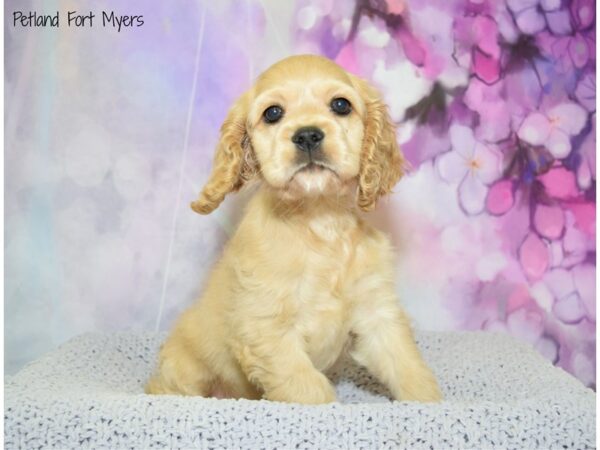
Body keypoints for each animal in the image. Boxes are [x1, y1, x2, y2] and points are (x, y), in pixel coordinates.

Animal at [146, 53, 440, 404]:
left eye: (341, 105)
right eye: (273, 113)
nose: (308, 135)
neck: (318, 221)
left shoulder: (377, 312)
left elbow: (406, 365)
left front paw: (431, 402)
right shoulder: (267, 326)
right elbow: (307, 388)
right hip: (183, 369)